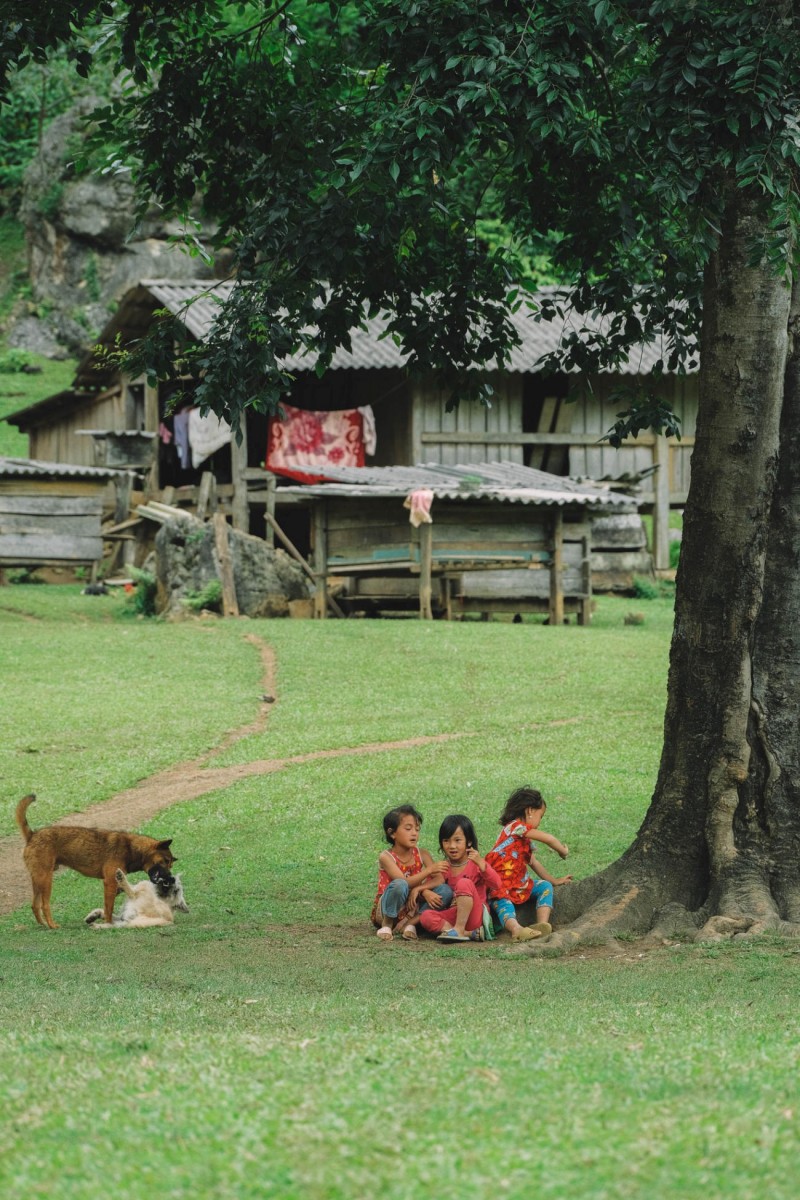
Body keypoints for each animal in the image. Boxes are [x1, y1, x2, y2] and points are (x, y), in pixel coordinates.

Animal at [16, 796, 176, 926]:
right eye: (164, 861)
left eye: (171, 864)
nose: (171, 879)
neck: (132, 849)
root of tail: (32, 835)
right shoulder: (109, 883)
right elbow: (109, 909)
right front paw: (108, 924)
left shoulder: (115, 884)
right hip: (46, 880)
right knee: (44, 906)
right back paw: (52, 925)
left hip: (38, 880)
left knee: (34, 905)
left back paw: (42, 925)